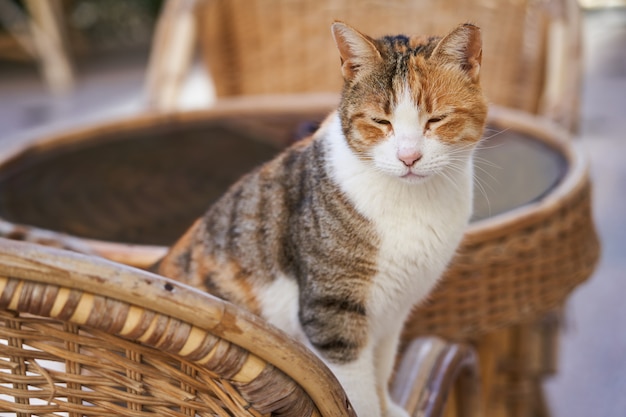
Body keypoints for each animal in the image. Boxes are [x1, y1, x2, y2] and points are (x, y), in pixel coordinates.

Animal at [154, 21, 486, 416]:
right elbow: (357, 392)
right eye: (380, 121)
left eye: (437, 119)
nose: (408, 157)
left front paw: (390, 407)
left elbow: (381, 370)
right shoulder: (333, 313)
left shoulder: (394, 311)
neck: (412, 202)